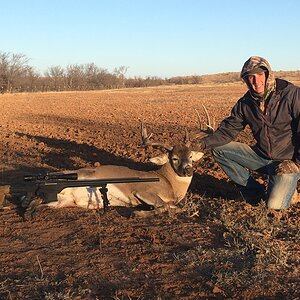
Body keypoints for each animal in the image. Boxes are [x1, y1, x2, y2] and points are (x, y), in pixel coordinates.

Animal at [44, 106, 213, 216]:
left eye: (190, 156)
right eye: (174, 158)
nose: (188, 170)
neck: (169, 184)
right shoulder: (143, 190)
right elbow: (168, 206)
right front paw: (139, 213)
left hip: (63, 201)